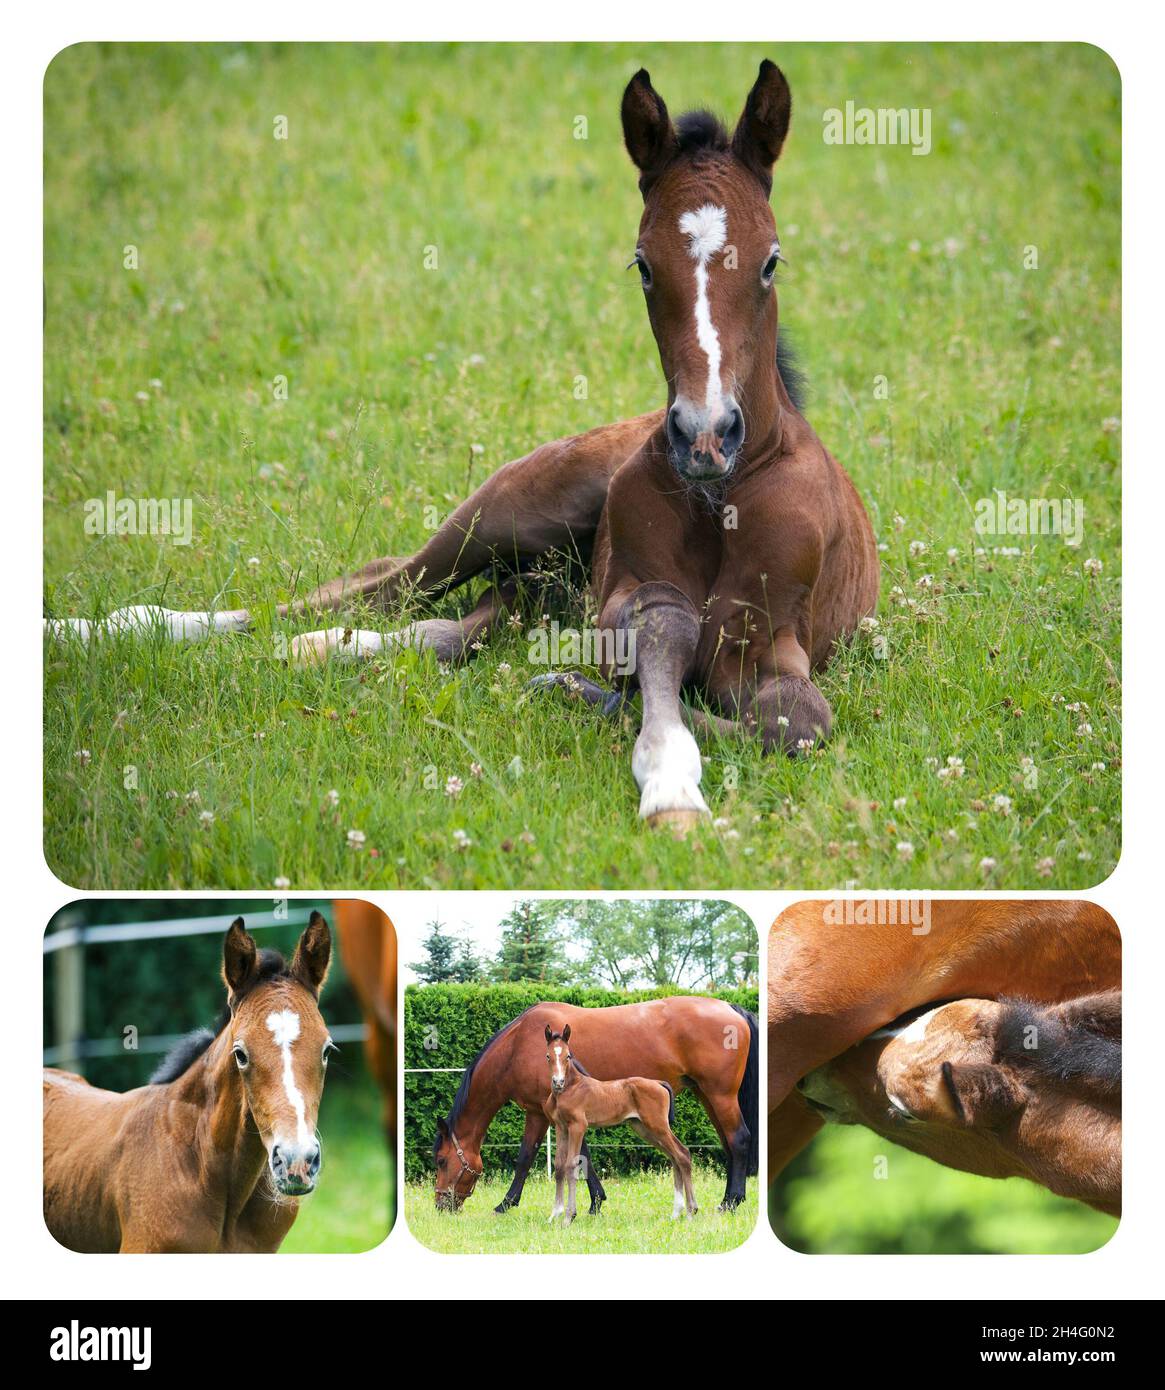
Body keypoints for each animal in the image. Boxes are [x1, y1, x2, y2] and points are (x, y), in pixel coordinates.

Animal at [47, 59, 878, 828]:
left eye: (770, 260)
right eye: (643, 265)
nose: (703, 435)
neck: (721, 498)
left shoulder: (771, 642)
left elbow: (797, 722)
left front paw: (583, 698)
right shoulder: (633, 595)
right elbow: (661, 639)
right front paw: (667, 782)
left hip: (537, 575)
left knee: (454, 625)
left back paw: (321, 649)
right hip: (509, 513)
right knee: (380, 584)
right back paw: (100, 629)